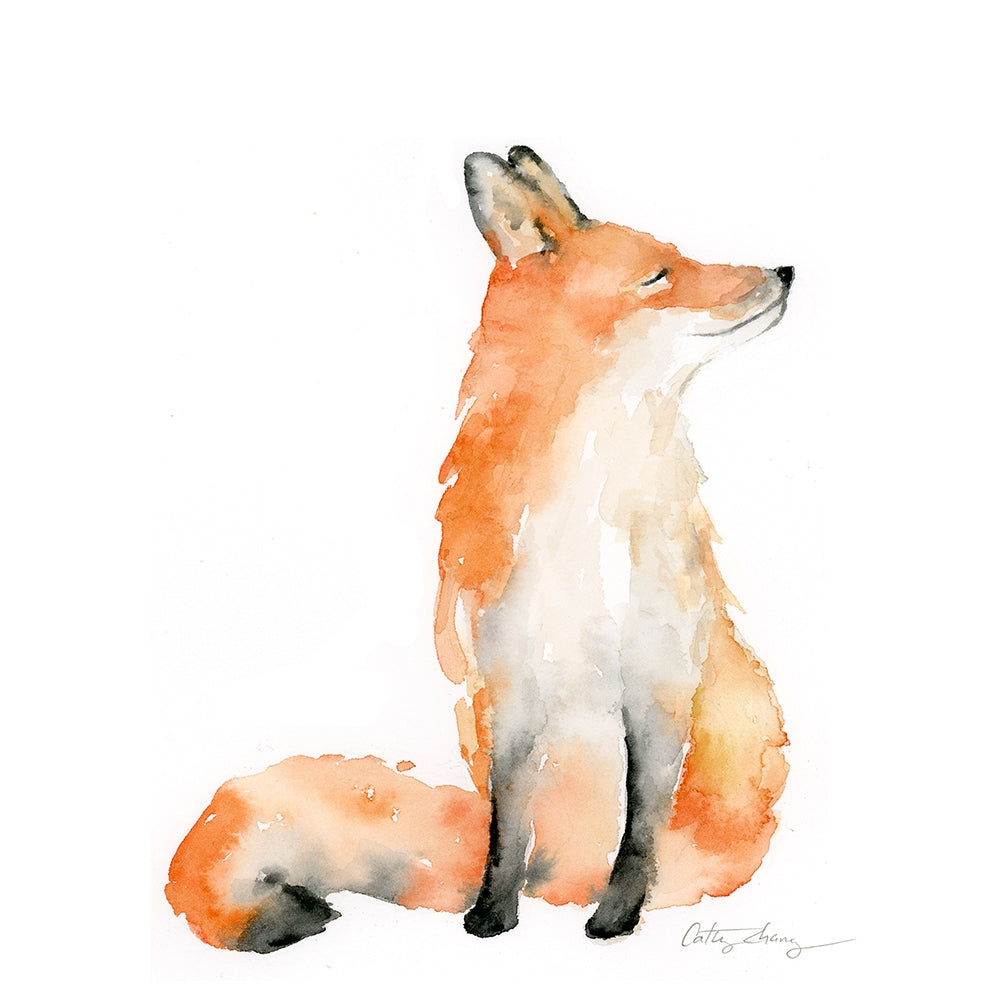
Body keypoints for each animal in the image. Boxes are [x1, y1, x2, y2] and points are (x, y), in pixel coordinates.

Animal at [165, 145, 793, 952]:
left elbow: (639, 834)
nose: (786, 271)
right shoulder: (511, 686)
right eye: (660, 275)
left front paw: (615, 918)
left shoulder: (658, 685)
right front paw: (492, 915)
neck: (587, 527)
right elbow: (505, 830)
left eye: (682, 258)